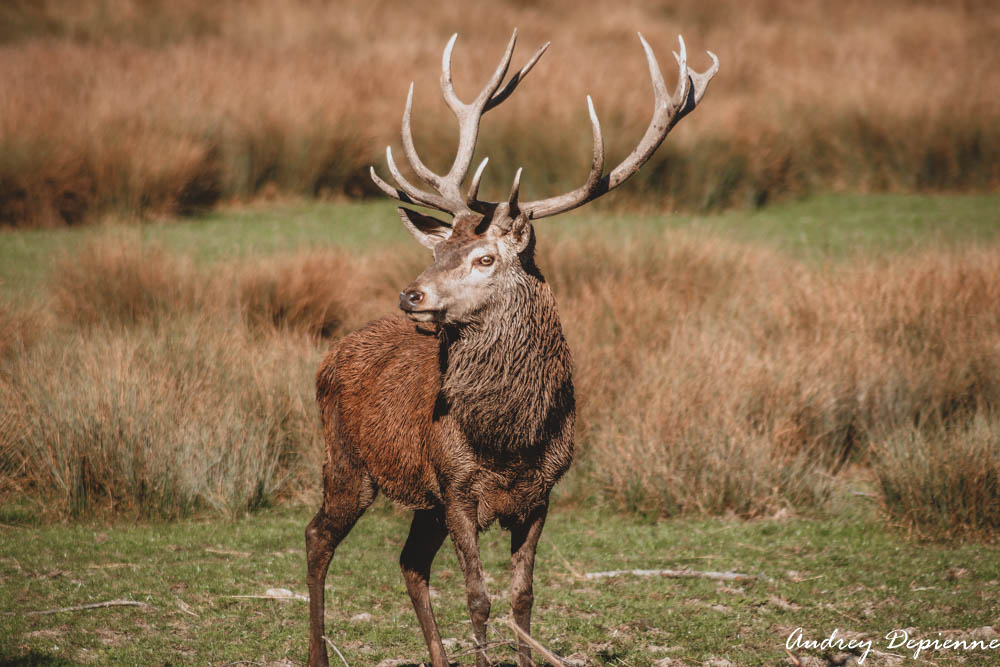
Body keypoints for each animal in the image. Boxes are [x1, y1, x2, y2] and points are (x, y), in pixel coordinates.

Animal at [306, 28, 720, 667]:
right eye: (437, 251)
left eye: (484, 258)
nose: (411, 294)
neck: (508, 441)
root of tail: (330, 355)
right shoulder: (457, 487)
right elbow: (478, 597)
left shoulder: (541, 493)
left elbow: (522, 596)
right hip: (348, 460)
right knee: (318, 537)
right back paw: (318, 653)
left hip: (415, 496)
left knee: (409, 561)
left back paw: (437, 658)